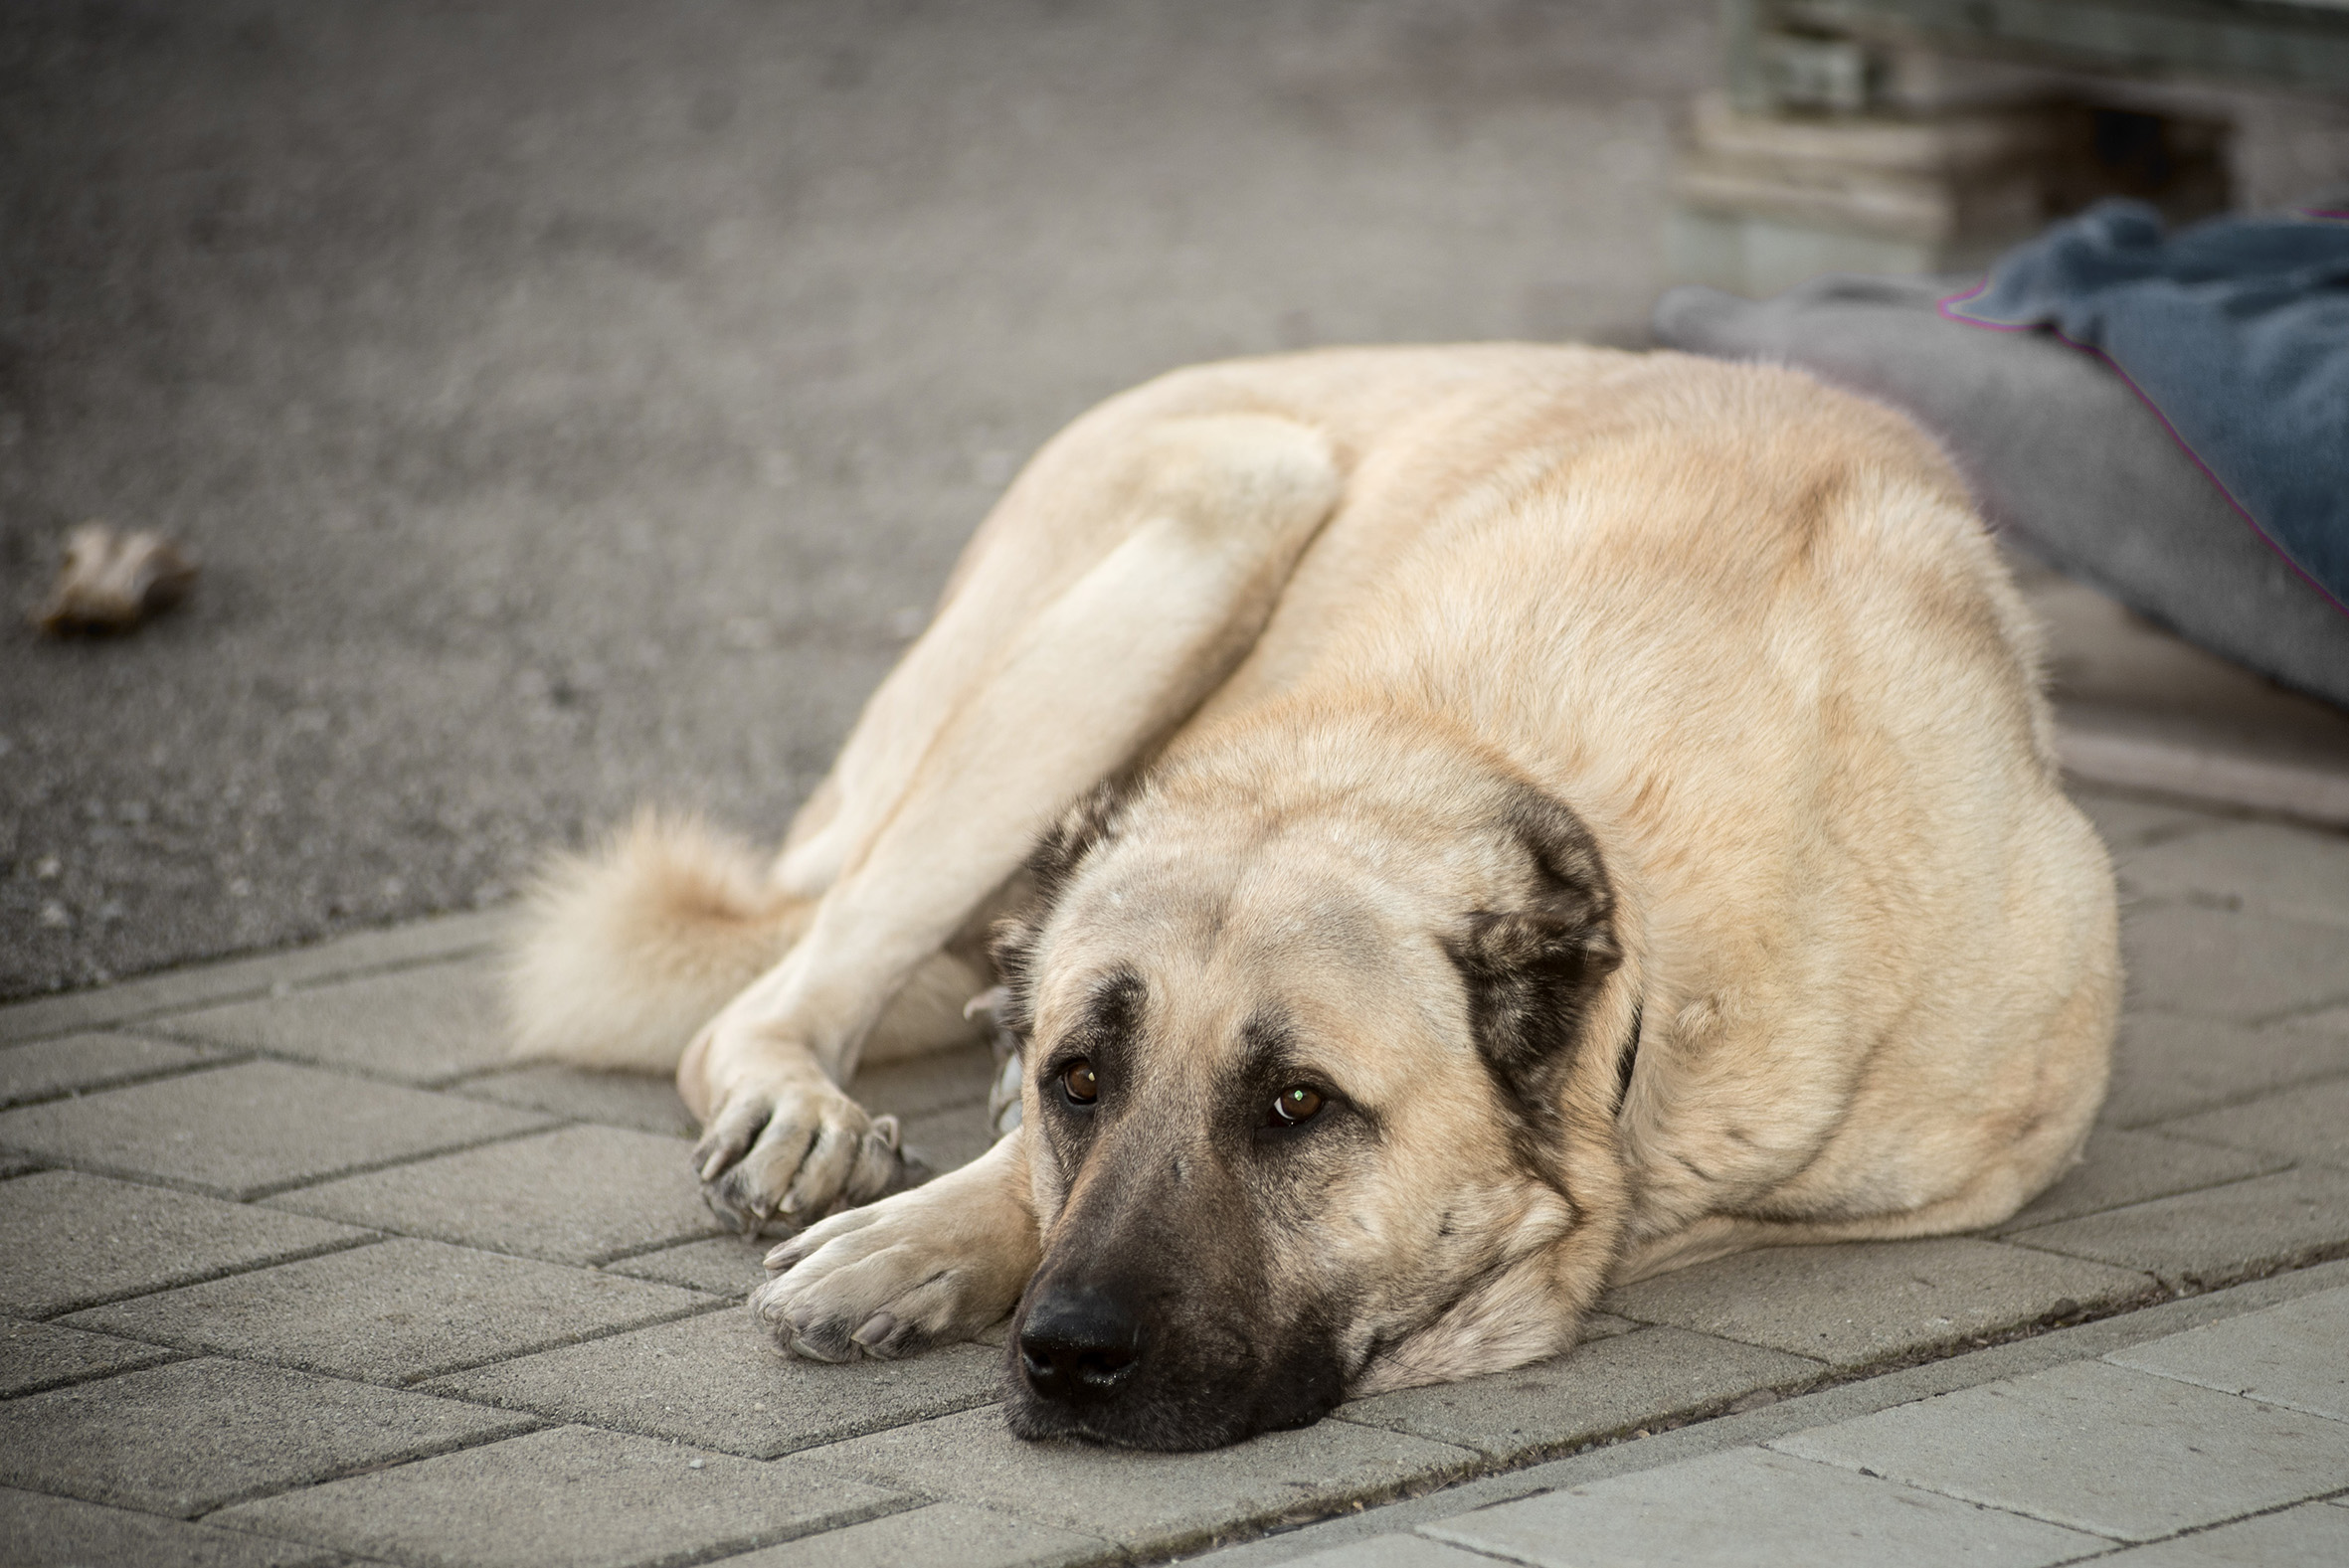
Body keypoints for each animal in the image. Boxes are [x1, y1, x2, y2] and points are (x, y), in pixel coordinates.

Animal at [509, 344, 2119, 1451]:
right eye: (1080, 1078)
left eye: (1297, 1105)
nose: (1063, 1355)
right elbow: (1017, 1169)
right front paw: (928, 1231)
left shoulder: (1971, 1164)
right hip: (1221, 511)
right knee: (764, 1000)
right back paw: (805, 1105)